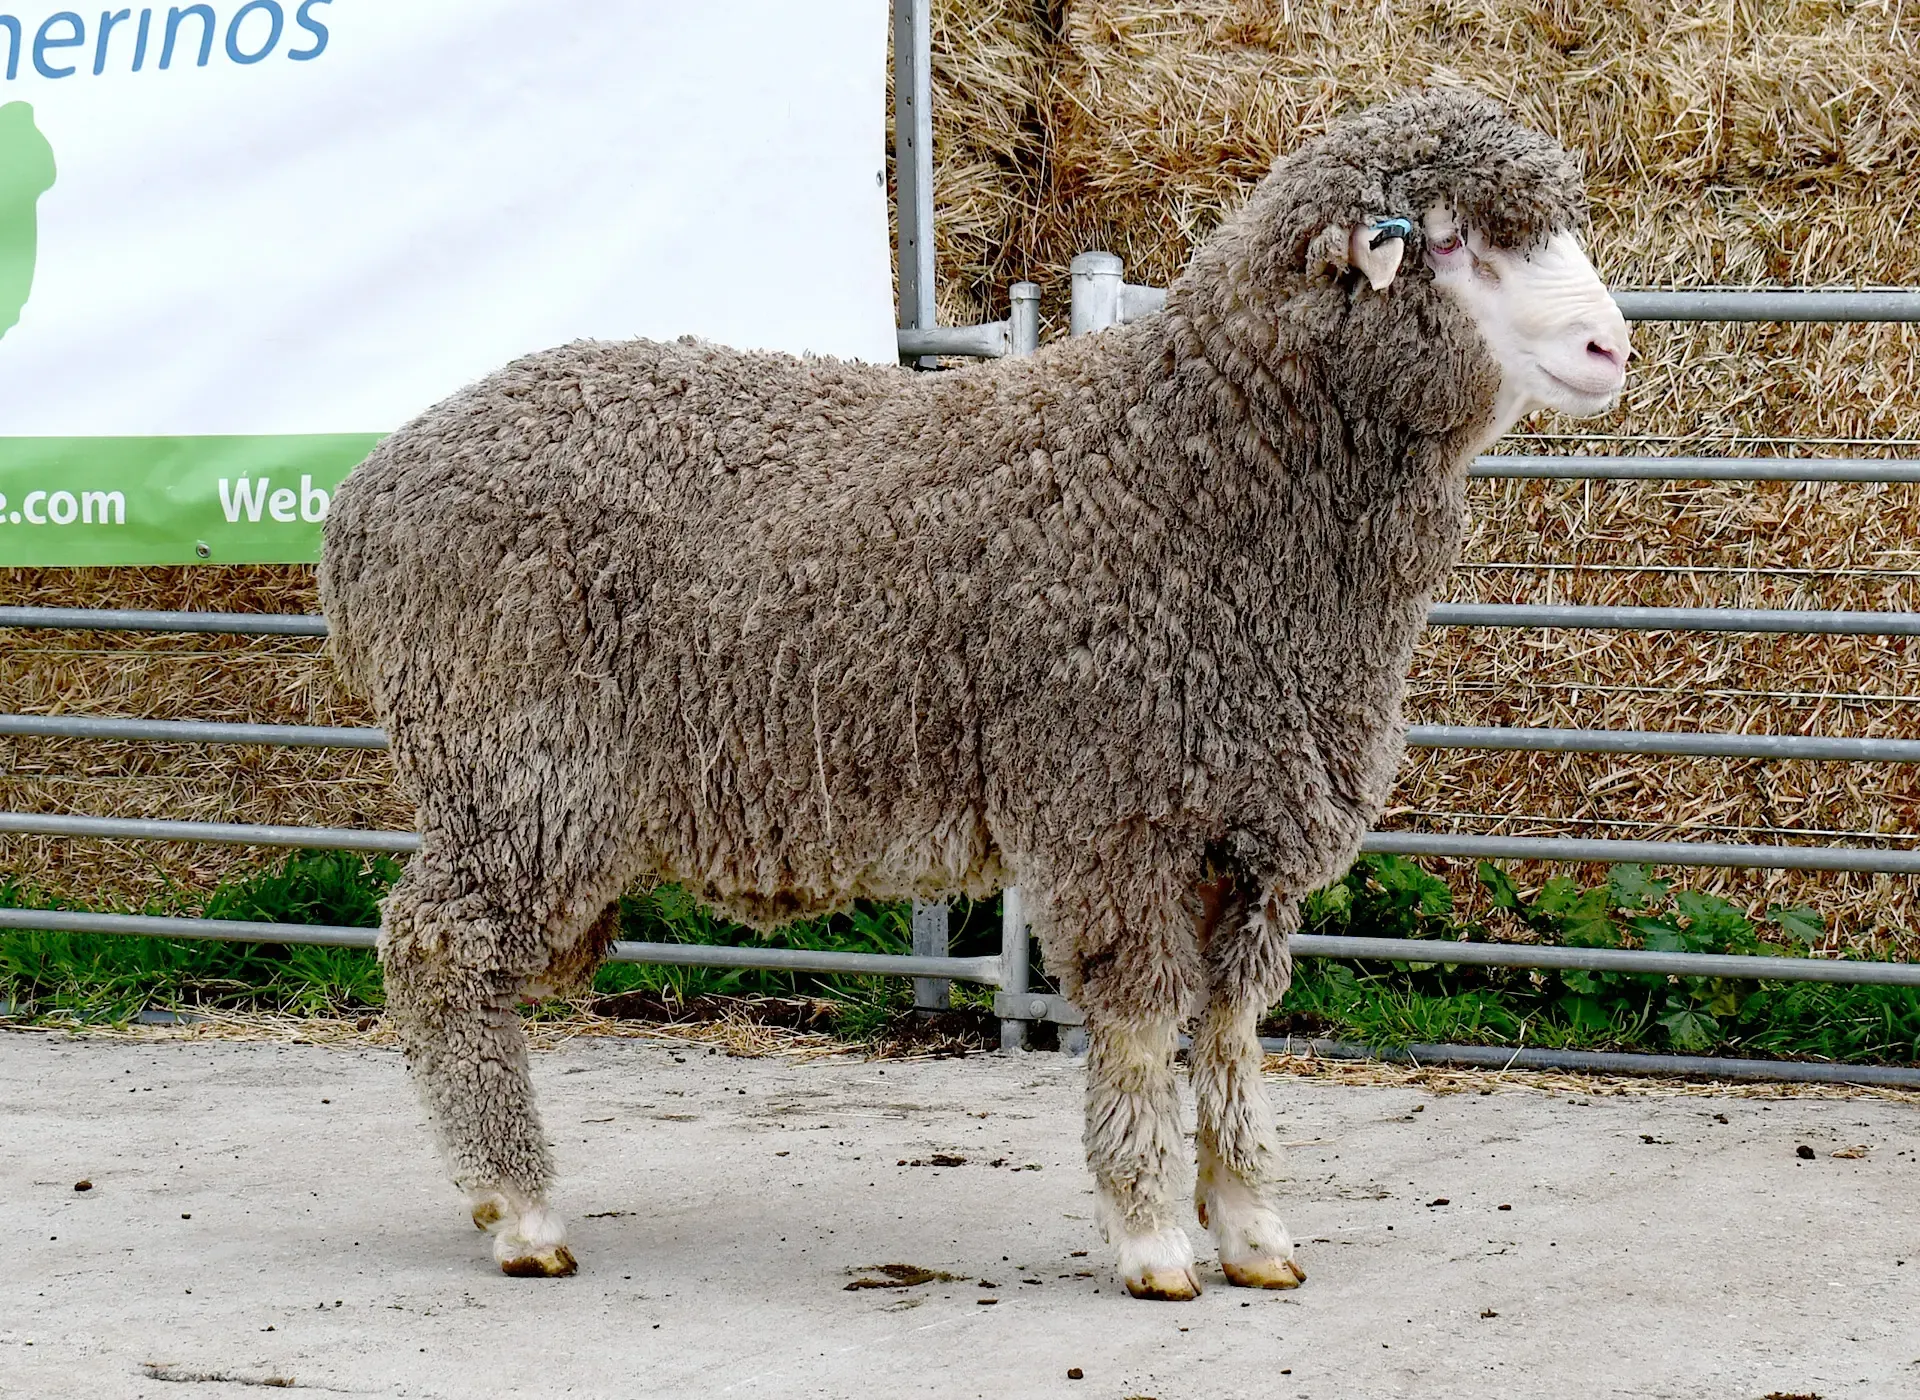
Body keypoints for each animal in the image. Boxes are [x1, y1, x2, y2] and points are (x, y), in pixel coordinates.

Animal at [318, 87, 1629, 1300]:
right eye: (1449, 240)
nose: (1613, 349)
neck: (1194, 466)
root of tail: (370, 492)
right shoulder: (1114, 806)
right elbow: (1143, 1026)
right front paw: (1153, 1238)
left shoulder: (1246, 823)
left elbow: (1232, 1032)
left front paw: (1254, 1230)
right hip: (517, 763)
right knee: (436, 943)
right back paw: (521, 1207)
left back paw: (495, 1198)